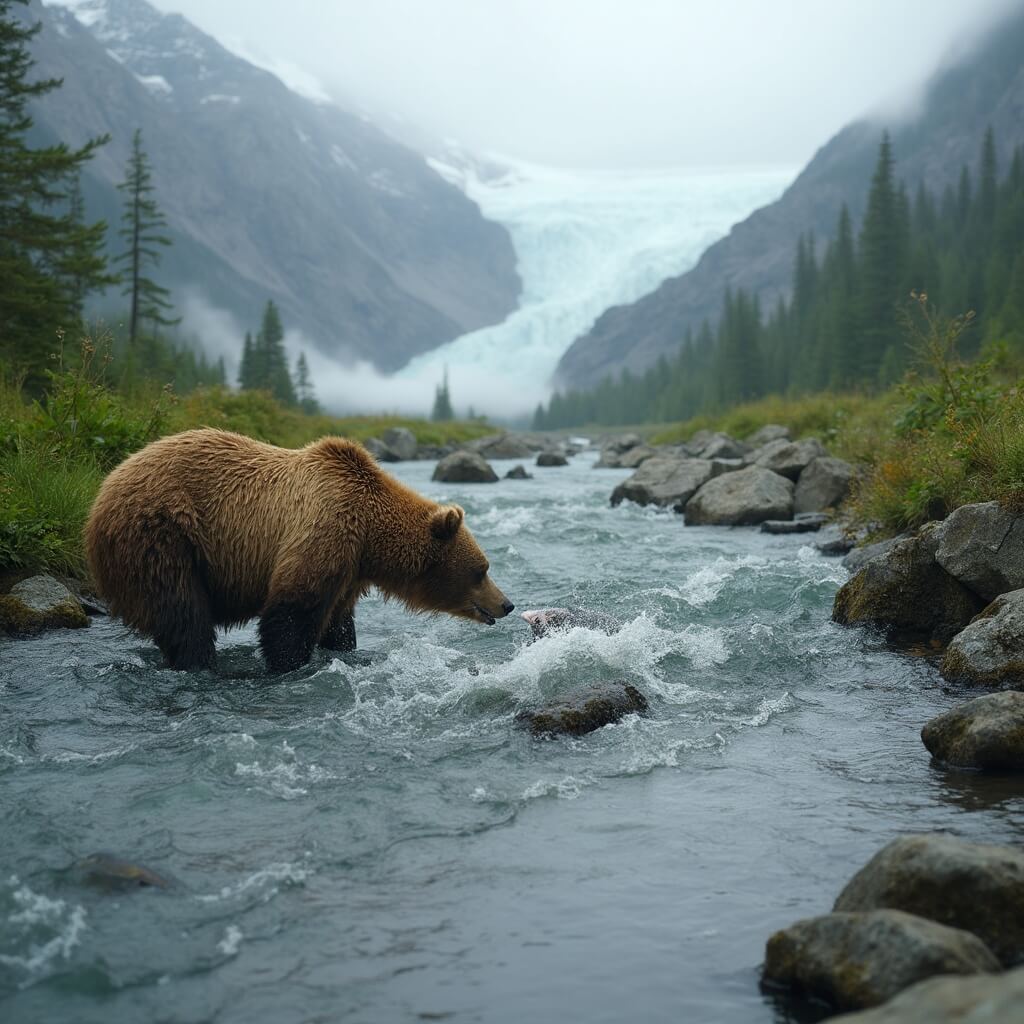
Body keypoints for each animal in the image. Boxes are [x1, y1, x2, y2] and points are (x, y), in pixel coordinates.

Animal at [84, 428, 514, 673]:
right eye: (482, 569)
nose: (506, 604)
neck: (370, 537)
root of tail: (100, 494)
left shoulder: (349, 568)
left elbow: (338, 622)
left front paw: (340, 647)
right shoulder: (325, 530)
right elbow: (290, 614)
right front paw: (288, 664)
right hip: (162, 535)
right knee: (183, 613)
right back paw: (200, 664)